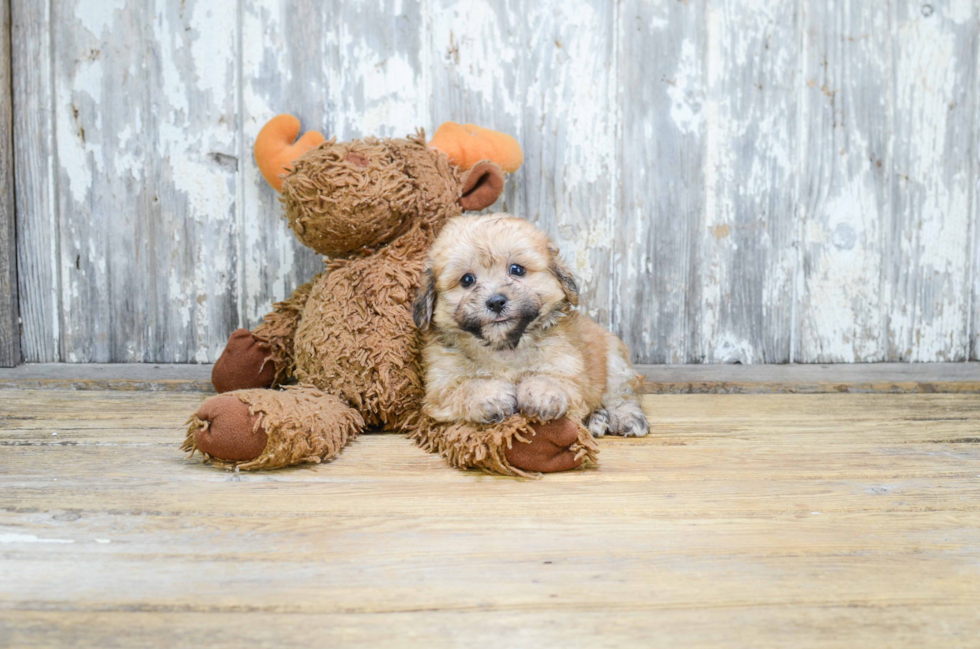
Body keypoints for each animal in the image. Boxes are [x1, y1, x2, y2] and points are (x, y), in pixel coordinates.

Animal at [410, 213, 648, 436]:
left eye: (516, 270)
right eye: (467, 280)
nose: (496, 302)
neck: (504, 347)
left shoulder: (569, 369)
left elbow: (554, 379)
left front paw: (542, 392)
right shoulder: (440, 387)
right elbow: (466, 386)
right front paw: (490, 395)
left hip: (614, 360)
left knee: (621, 393)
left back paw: (626, 417)